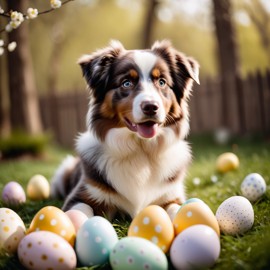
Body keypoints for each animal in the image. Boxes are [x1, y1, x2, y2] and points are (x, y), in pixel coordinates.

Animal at [50, 40, 198, 221]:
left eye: (162, 82)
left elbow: (178, 210)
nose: (151, 107)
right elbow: (79, 212)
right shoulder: (81, 196)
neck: (140, 150)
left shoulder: (171, 196)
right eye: (126, 83)